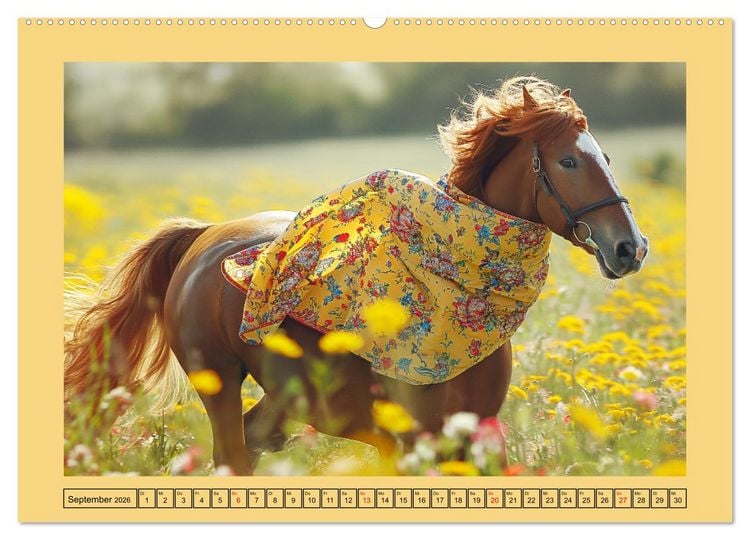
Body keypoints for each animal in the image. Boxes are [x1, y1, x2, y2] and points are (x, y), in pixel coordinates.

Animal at [65, 76, 649, 475]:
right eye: (569, 162)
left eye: (606, 156)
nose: (630, 247)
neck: (449, 290)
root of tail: (204, 237)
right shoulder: (414, 442)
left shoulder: (475, 439)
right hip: (219, 382)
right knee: (232, 455)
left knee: (253, 442)